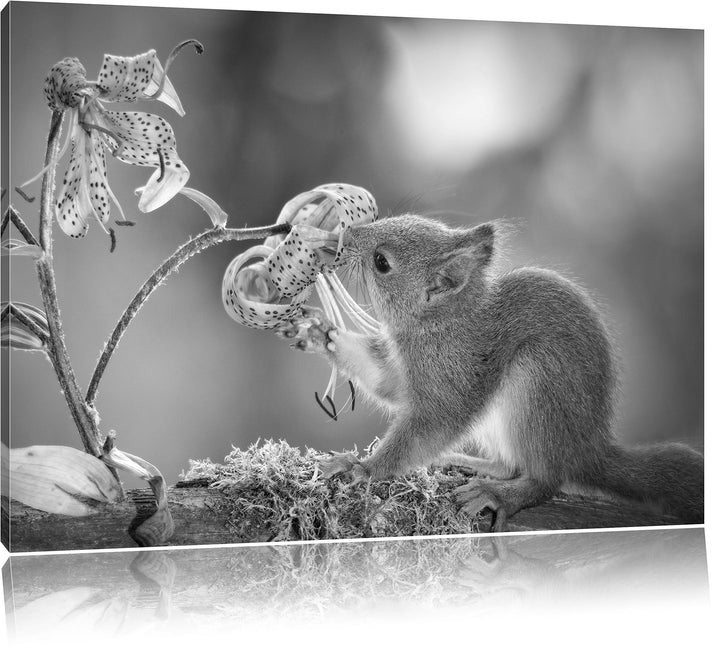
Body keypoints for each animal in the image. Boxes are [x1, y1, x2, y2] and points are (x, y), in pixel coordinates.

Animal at [278, 214, 704, 531]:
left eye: (382, 262)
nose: (344, 235)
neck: (440, 324)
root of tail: (586, 449)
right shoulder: (406, 372)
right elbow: (386, 384)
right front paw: (320, 334)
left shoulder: (454, 376)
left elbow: (427, 428)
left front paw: (363, 468)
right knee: (509, 464)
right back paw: (468, 464)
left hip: (539, 383)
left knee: (544, 479)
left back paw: (500, 494)